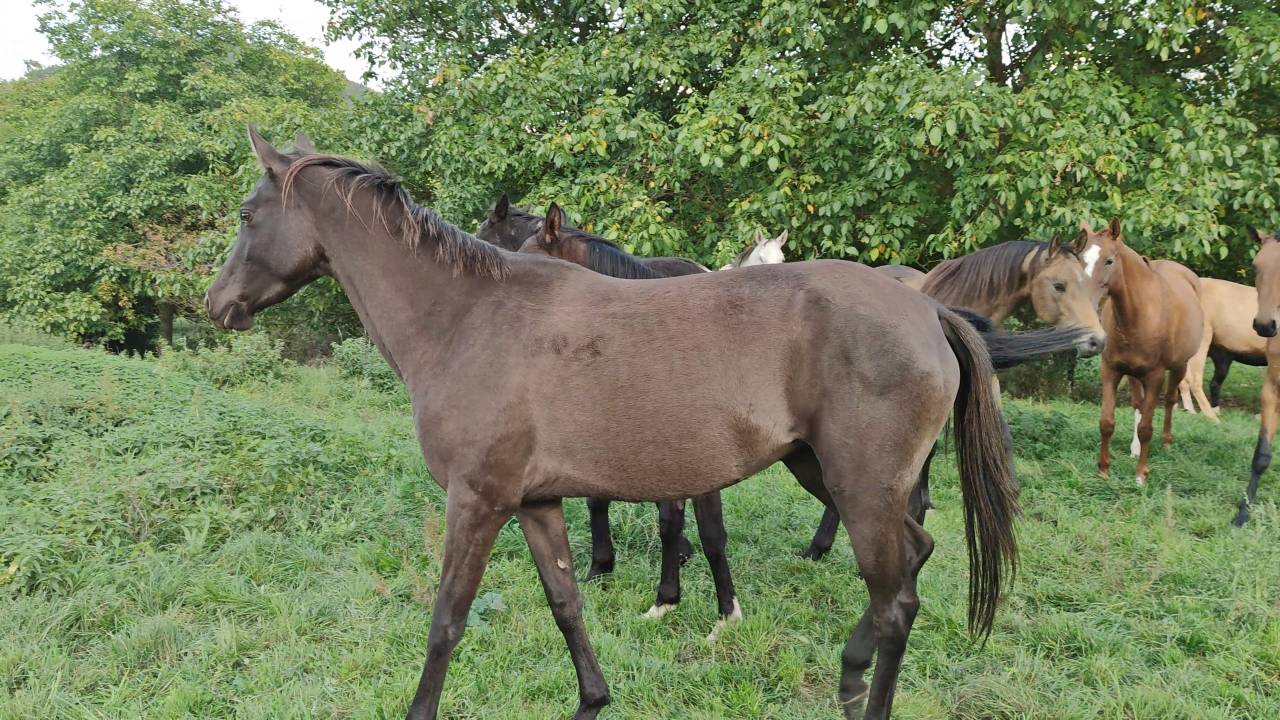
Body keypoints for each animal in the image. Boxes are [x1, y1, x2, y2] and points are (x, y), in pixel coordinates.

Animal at [210, 128, 1019, 720]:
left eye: (247, 217)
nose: (218, 303)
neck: (468, 318)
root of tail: (927, 309)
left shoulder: (476, 502)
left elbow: (447, 620)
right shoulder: (535, 502)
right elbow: (567, 604)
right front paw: (592, 700)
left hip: (860, 487)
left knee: (895, 600)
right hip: (829, 475)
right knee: (912, 558)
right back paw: (849, 676)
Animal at [1080, 219, 1204, 485]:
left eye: (1109, 261)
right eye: (1081, 258)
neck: (1140, 314)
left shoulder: (1155, 376)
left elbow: (1147, 427)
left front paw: (1140, 476)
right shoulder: (1111, 371)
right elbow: (1107, 422)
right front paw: (1103, 470)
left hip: (1179, 366)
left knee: (1170, 400)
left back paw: (1166, 444)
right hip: (1133, 373)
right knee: (1139, 403)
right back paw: (1135, 449)